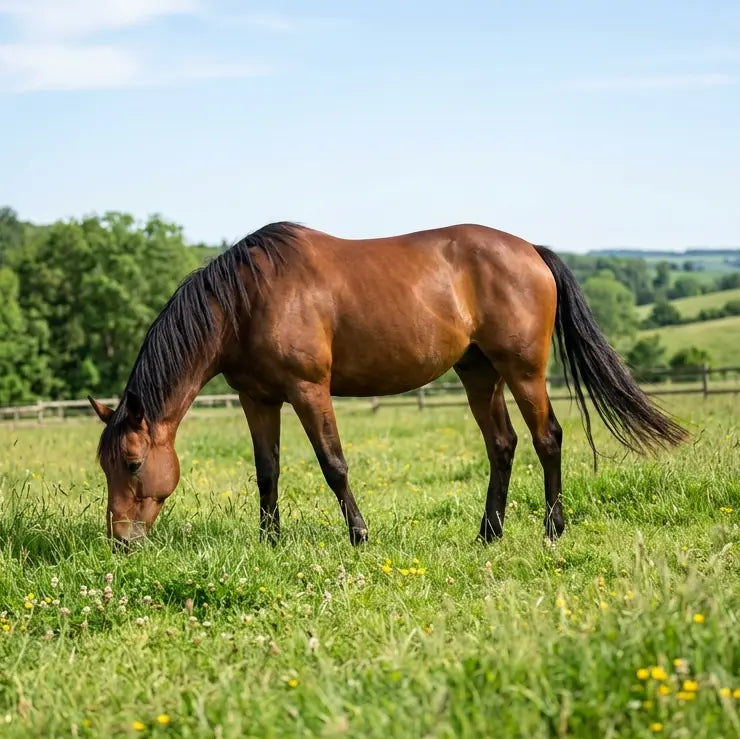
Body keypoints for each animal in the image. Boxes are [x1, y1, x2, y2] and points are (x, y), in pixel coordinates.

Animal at [88, 222, 687, 546]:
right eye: (105, 466)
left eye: (134, 463)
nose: (121, 540)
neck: (246, 301)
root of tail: (530, 251)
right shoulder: (257, 398)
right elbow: (266, 472)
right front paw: (269, 542)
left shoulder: (309, 390)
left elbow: (333, 464)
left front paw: (358, 536)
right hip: (479, 373)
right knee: (502, 445)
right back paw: (488, 533)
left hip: (522, 371)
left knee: (548, 439)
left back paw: (553, 529)